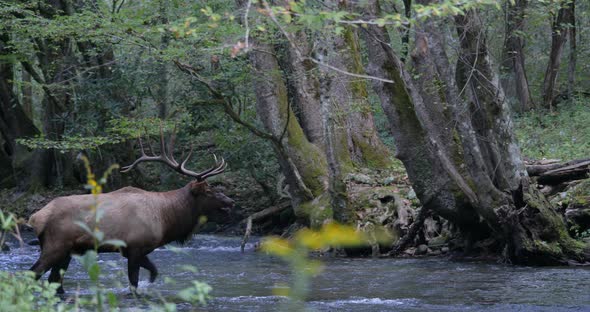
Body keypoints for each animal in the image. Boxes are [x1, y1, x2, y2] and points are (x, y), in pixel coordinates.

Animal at [27, 133, 235, 294]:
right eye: (209, 191)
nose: (231, 201)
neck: (166, 219)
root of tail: (36, 218)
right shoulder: (135, 247)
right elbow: (134, 283)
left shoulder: (135, 250)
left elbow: (154, 271)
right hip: (55, 246)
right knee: (33, 274)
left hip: (67, 251)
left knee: (55, 281)